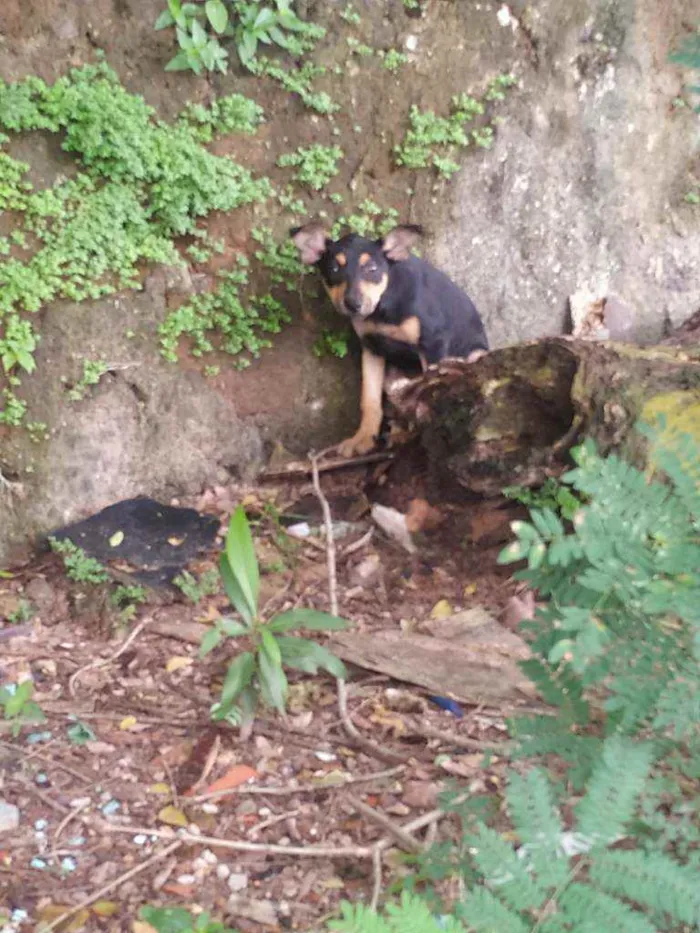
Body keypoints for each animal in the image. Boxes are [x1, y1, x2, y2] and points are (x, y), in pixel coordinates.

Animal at [290, 226, 486, 458]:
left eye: (372, 268)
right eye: (334, 268)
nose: (353, 304)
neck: (382, 308)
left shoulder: (433, 342)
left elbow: (430, 389)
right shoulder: (372, 348)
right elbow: (370, 399)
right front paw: (363, 438)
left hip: (475, 356)